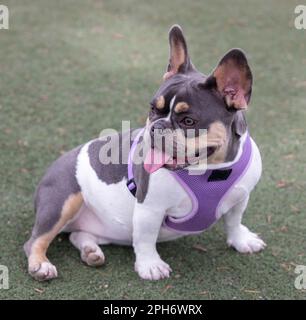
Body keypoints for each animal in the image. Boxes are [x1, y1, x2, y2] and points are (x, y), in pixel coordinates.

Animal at [23, 24, 266, 280]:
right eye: (153, 109)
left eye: (189, 121)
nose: (156, 127)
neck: (211, 171)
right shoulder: (150, 208)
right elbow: (145, 238)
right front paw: (150, 265)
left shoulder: (241, 198)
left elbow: (234, 221)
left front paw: (241, 240)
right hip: (62, 201)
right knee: (35, 240)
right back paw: (41, 264)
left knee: (78, 235)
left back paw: (91, 251)